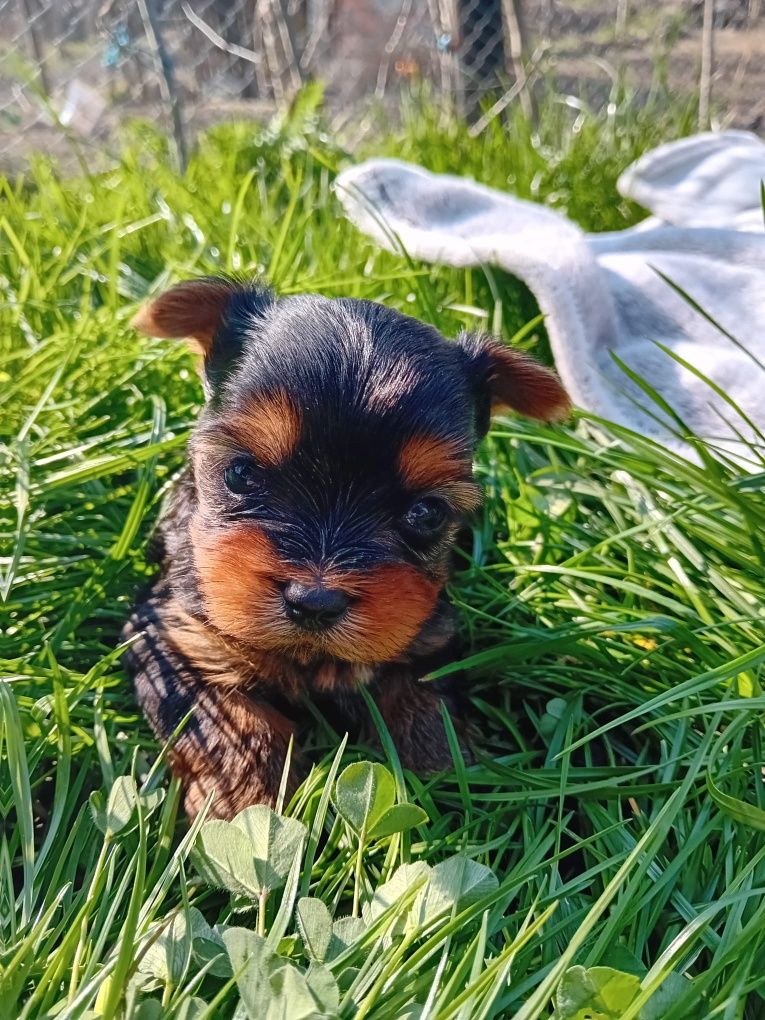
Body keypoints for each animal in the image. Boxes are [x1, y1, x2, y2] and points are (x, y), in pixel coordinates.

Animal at [122, 279, 571, 820]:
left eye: (427, 513)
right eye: (241, 474)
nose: (315, 602)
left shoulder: (428, 635)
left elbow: (426, 704)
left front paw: (443, 786)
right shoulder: (175, 635)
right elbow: (228, 726)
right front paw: (246, 805)